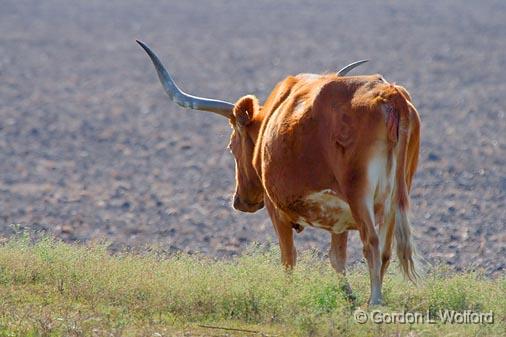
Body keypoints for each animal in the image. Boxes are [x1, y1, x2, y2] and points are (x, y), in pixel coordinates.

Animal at [137, 40, 420, 304]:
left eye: (231, 146)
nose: (240, 202)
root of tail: (389, 95)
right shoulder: (338, 219)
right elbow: (336, 259)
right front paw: (347, 296)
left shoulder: (278, 210)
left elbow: (288, 259)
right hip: (394, 199)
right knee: (385, 250)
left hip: (359, 194)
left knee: (372, 243)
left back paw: (374, 301)